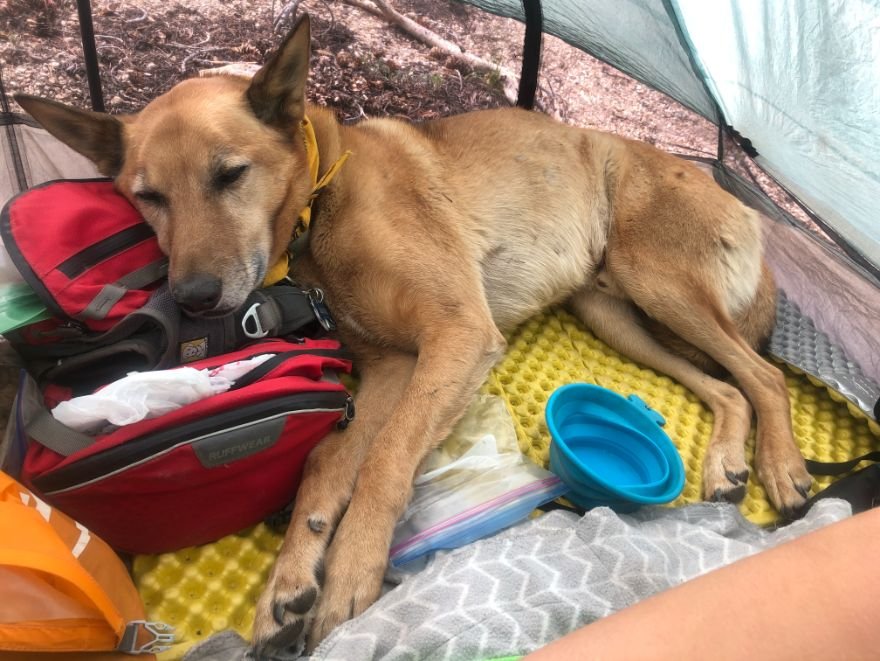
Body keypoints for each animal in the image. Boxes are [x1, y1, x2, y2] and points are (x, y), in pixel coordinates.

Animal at [15, 14, 812, 656]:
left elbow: (384, 462)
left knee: (764, 375)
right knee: (727, 387)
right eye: (147, 196)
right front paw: (290, 581)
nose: (192, 298)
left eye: (230, 174)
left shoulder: (456, 335)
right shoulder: (393, 367)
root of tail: (742, 206)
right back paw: (727, 464)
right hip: (614, 314)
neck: (321, 204)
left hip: (658, 283)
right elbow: (328, 462)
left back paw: (782, 469)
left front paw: (350, 571)